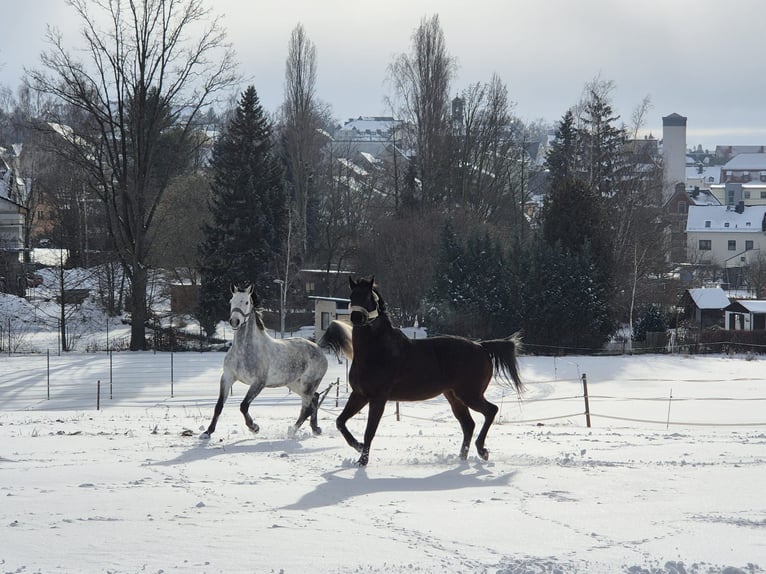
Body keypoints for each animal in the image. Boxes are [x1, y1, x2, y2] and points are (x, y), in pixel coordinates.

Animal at [200, 284, 328, 440]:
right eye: (231, 301)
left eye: (246, 302)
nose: (234, 321)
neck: (244, 351)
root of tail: (319, 349)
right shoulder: (227, 378)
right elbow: (218, 406)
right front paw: (207, 432)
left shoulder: (258, 383)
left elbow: (243, 406)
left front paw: (254, 427)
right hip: (294, 384)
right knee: (315, 399)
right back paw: (315, 429)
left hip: (307, 385)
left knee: (307, 407)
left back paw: (292, 430)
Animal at [319, 276, 524, 466]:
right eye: (352, 296)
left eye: (369, 297)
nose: (356, 318)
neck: (376, 351)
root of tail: (481, 347)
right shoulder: (359, 395)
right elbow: (340, 422)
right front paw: (358, 447)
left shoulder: (377, 399)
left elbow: (369, 431)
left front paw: (362, 461)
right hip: (454, 396)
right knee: (468, 424)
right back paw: (462, 458)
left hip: (470, 394)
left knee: (490, 411)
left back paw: (482, 451)